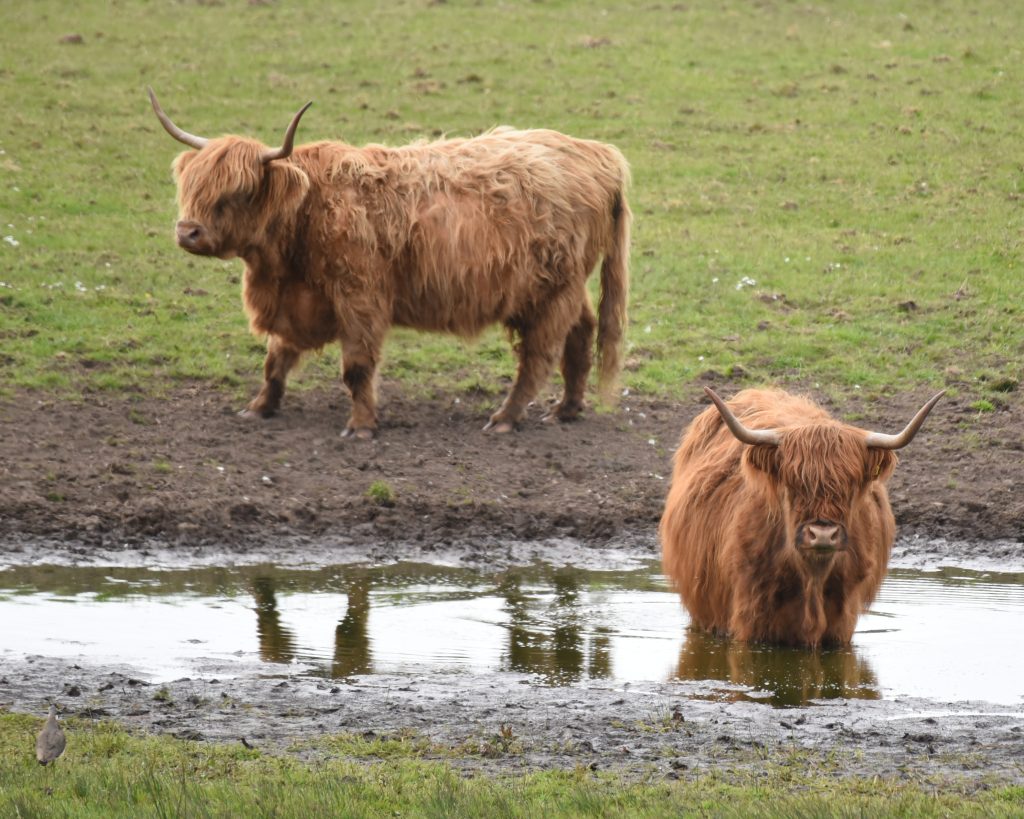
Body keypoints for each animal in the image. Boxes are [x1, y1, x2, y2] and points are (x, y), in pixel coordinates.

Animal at [148, 89, 626, 438]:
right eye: (194, 186)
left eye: (239, 192)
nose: (187, 231)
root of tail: (596, 152)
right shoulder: (298, 300)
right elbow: (276, 360)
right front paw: (260, 407)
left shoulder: (360, 296)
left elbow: (357, 367)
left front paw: (361, 427)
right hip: (564, 288)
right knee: (581, 333)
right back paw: (566, 409)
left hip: (547, 292)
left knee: (539, 355)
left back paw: (506, 417)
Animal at [659, 386, 937, 651]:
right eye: (793, 485)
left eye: (850, 486)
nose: (823, 535)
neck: (811, 577)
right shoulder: (749, 619)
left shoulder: (841, 625)